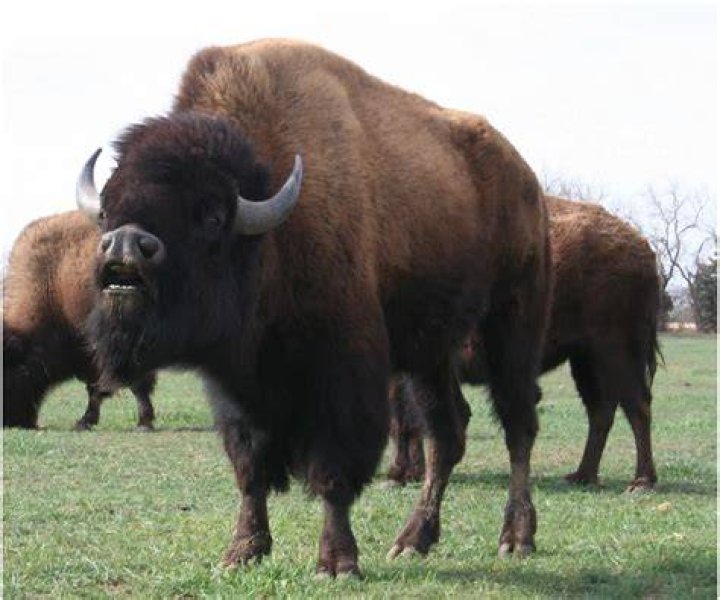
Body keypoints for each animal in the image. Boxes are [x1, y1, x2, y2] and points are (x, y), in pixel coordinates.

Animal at [75, 39, 551, 575]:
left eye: (212, 216)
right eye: (108, 208)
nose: (125, 246)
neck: (273, 231)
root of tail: (527, 181)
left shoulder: (341, 375)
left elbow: (332, 471)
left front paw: (337, 563)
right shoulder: (238, 387)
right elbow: (250, 468)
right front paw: (242, 552)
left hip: (513, 321)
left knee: (518, 426)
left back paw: (516, 537)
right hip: (431, 353)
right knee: (447, 433)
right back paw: (413, 539)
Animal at [388, 196, 661, 491]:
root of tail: (641, 246)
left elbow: (405, 419)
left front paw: (399, 474)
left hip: (616, 352)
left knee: (637, 406)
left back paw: (640, 481)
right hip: (584, 358)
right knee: (601, 410)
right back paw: (582, 475)